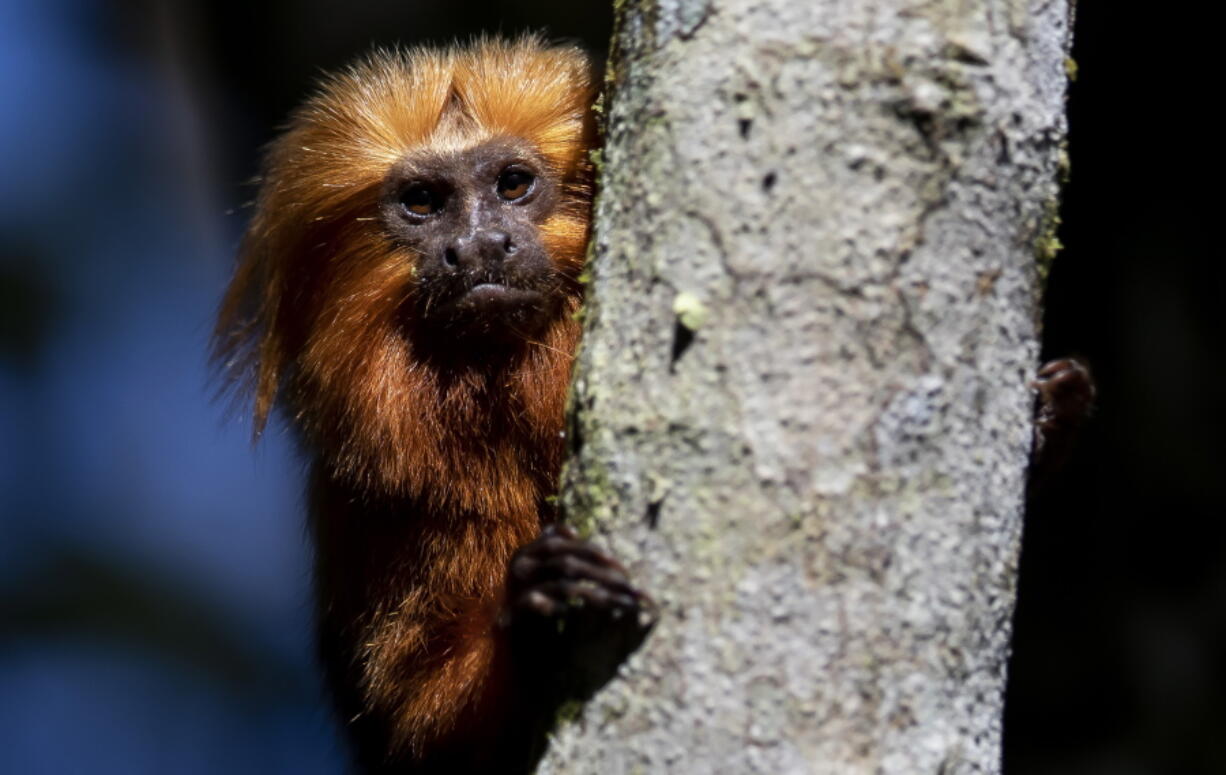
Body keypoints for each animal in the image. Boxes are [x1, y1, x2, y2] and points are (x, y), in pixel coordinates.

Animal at [213, 37, 652, 775]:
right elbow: (418, 739)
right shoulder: (371, 510)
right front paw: (535, 609)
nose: (478, 247)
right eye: (422, 201)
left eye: (512, 185)